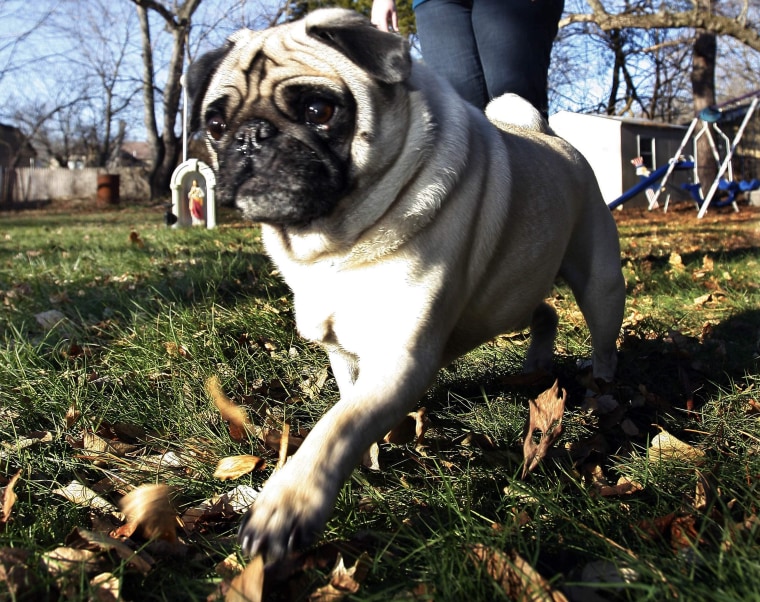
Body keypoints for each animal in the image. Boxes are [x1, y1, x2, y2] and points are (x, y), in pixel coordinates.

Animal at [187, 7, 628, 564]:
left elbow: (336, 426)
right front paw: (372, 461)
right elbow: (349, 407)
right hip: (512, 289)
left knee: (604, 341)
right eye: (216, 125)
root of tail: (551, 136)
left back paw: (602, 392)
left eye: (318, 110)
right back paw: (534, 365)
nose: (250, 137)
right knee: (543, 311)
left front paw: (290, 502)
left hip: (600, 282)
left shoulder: (400, 356)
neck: (335, 244)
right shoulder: (345, 352)